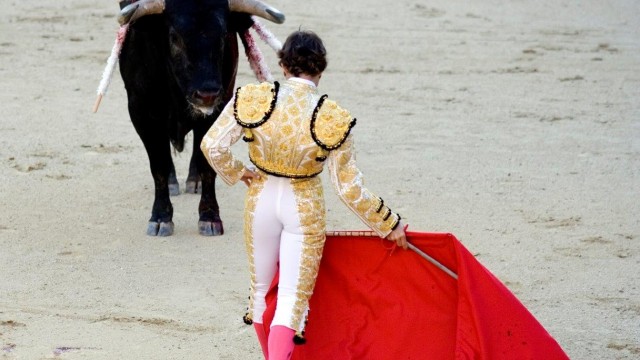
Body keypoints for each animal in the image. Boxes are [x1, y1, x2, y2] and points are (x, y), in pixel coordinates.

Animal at [115, 0, 284, 236]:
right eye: (174, 37)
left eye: (223, 35)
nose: (207, 94)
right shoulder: (141, 111)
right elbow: (158, 165)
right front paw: (160, 218)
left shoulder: (220, 105)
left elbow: (207, 164)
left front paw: (210, 217)